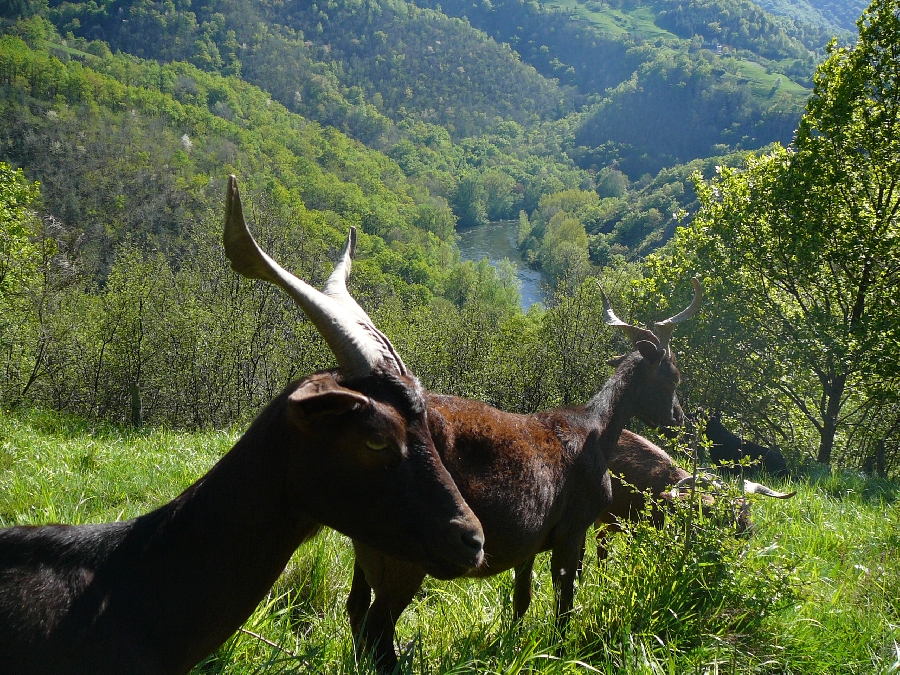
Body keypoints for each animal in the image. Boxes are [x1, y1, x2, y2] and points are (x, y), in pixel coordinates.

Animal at [342, 270, 700, 672]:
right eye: (674, 376)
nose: (678, 419)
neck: (597, 432)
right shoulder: (573, 528)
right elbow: (564, 600)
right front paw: (560, 653)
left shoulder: (530, 539)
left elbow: (522, 598)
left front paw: (512, 645)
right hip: (408, 549)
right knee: (377, 625)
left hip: (366, 545)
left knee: (356, 609)